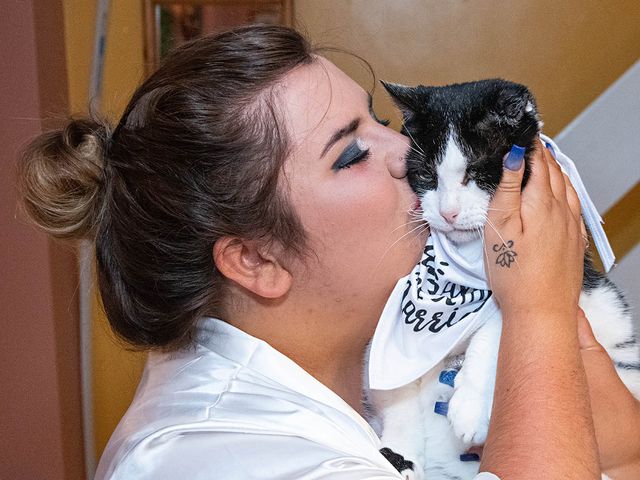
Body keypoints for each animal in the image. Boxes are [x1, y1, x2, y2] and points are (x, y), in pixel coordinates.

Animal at [370, 79, 640, 480]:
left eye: (478, 171)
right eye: (427, 176)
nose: (447, 212)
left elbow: (501, 318)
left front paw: (470, 405)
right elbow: (393, 384)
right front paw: (400, 450)